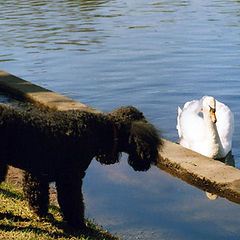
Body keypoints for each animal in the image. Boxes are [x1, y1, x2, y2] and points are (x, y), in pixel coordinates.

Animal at [0, 104, 162, 229]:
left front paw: (41, 213)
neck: (100, 131)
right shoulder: (70, 179)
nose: (152, 157)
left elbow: (37, 196)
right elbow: (73, 203)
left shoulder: (38, 174)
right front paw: (78, 225)